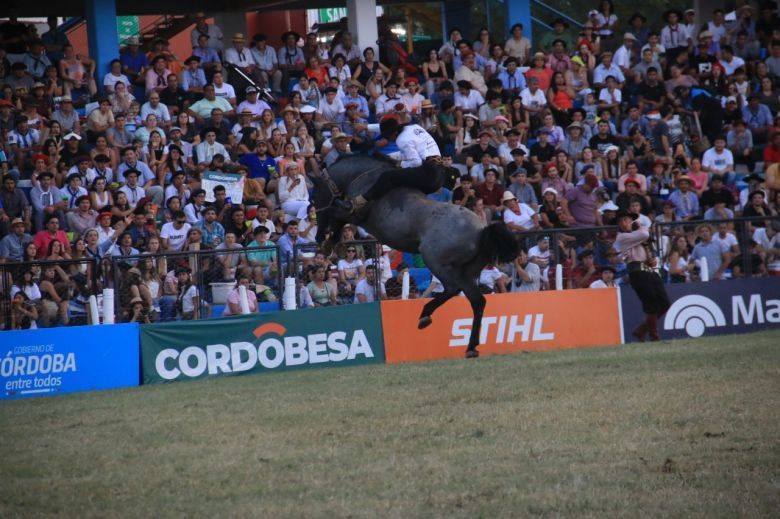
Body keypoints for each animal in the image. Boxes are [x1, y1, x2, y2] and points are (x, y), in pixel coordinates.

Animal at [310, 154, 516, 358]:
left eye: (315, 195)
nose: (318, 235)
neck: (363, 175)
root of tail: (481, 230)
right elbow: (337, 220)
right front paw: (328, 243)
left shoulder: (355, 215)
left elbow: (336, 213)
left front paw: (327, 243)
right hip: (467, 272)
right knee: (477, 300)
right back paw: (470, 346)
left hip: (437, 263)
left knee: (454, 289)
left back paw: (427, 315)